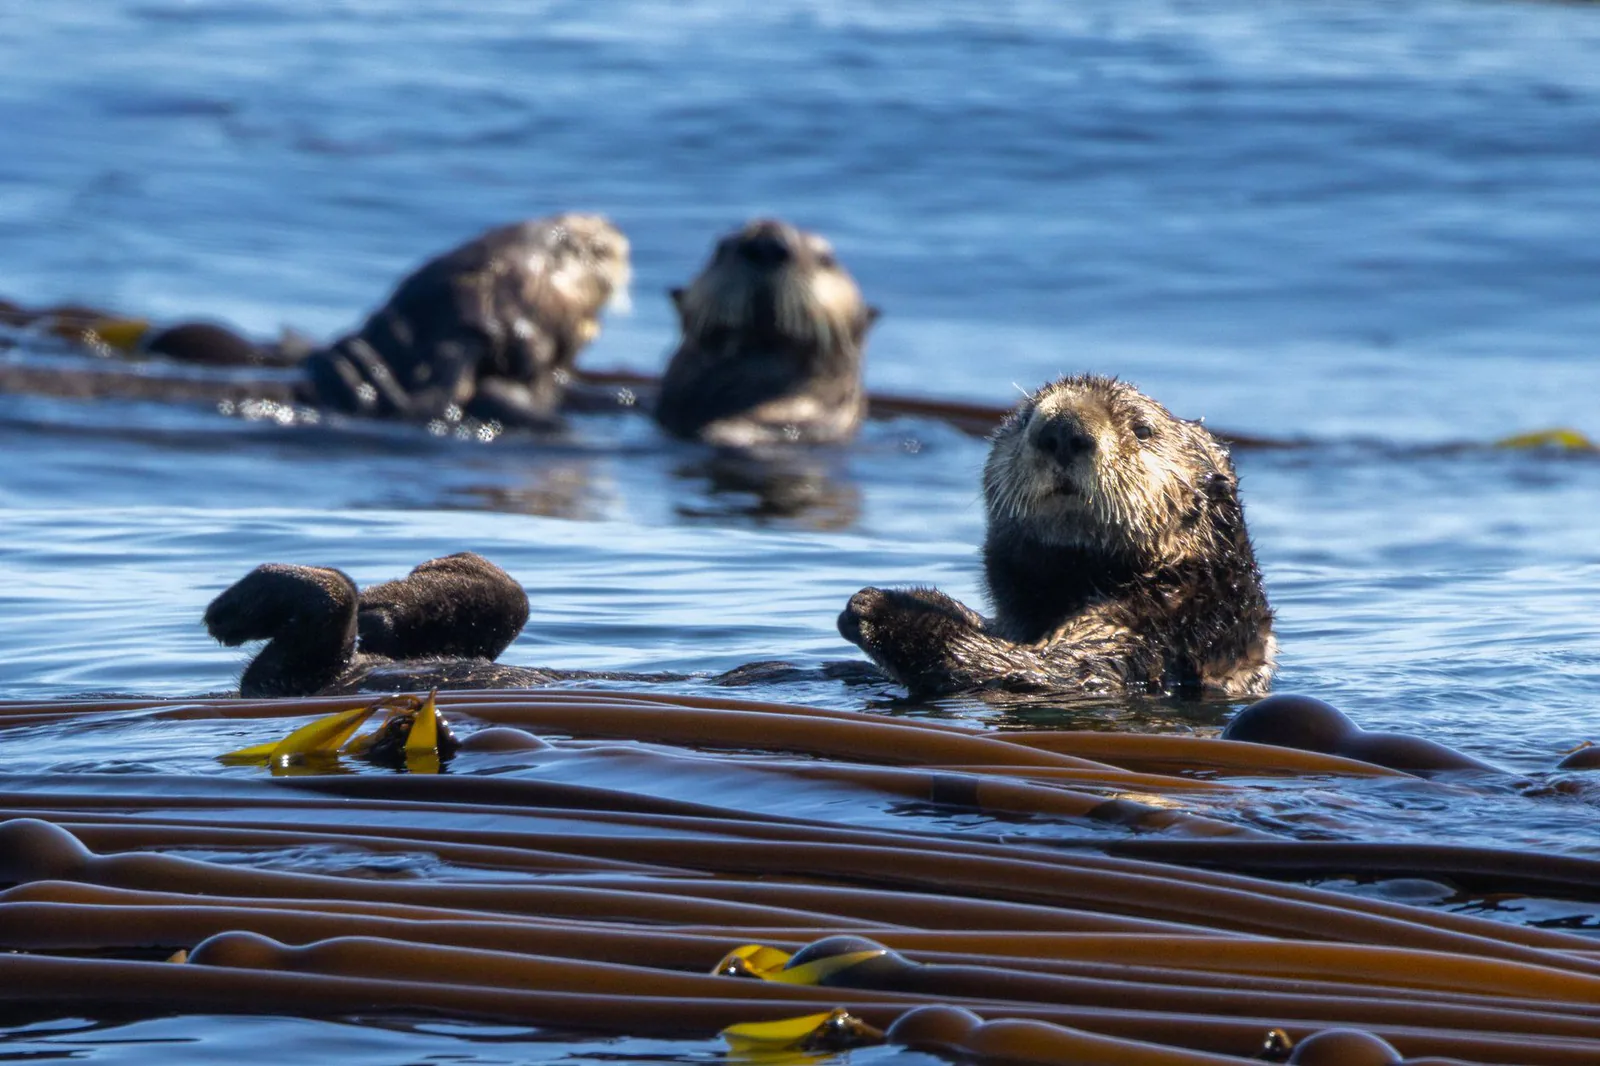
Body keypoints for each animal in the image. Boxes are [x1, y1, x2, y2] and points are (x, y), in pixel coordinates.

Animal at [836, 374, 1276, 698]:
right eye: (1024, 418)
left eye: (1143, 429)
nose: (1063, 430)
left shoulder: (1149, 636)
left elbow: (1040, 669)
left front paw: (875, 606)